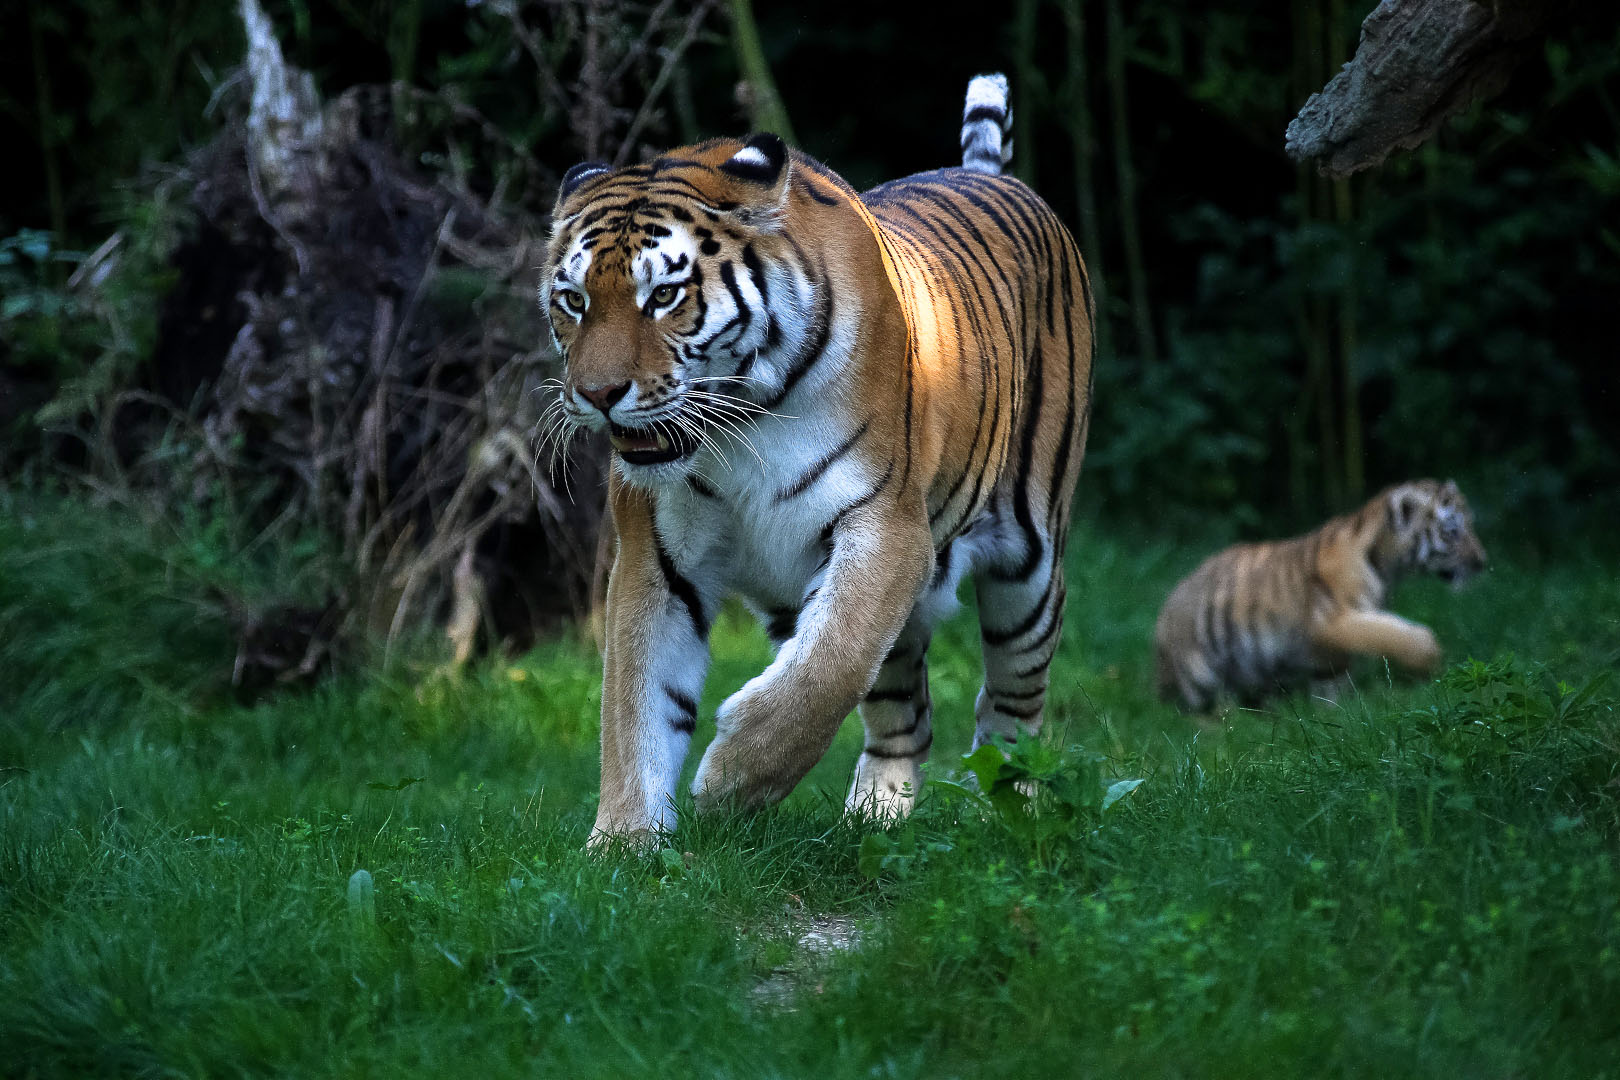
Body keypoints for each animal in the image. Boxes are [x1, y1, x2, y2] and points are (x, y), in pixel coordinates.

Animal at [547, 74, 1101, 841]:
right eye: (572, 300)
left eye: (663, 295)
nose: (597, 395)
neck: (742, 425)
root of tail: (993, 176)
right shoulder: (655, 557)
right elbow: (634, 707)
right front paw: (626, 842)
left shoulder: (886, 530)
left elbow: (824, 672)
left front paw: (729, 784)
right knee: (906, 716)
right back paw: (876, 817)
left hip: (1030, 568)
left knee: (1012, 705)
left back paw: (1011, 809)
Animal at [1159, 479, 1483, 712]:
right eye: (1452, 531)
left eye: (1471, 525)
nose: (1482, 561)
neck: (1390, 567)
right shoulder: (1331, 618)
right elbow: (1397, 636)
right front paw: (1433, 661)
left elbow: (1333, 680)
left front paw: (1336, 712)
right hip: (1198, 672)